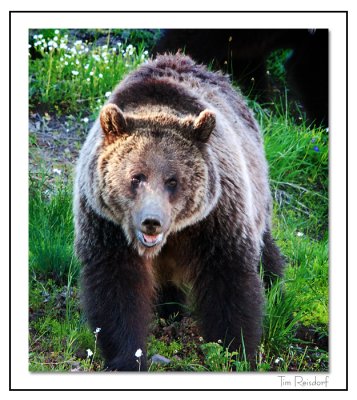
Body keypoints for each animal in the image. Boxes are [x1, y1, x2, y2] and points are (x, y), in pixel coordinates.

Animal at [73, 53, 284, 372]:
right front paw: (127, 357)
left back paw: (275, 280)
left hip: (257, 188)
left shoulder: (216, 219)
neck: (175, 233)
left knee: (264, 244)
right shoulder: (107, 226)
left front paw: (236, 351)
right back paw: (170, 310)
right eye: (136, 177)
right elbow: (117, 290)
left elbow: (229, 280)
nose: (151, 222)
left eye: (172, 180)